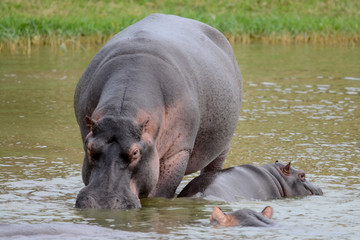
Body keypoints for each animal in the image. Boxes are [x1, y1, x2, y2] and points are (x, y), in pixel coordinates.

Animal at [73, 13, 242, 208]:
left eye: (135, 152)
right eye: (90, 148)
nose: (102, 203)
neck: (121, 113)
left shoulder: (177, 153)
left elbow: (160, 193)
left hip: (222, 147)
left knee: (212, 167)